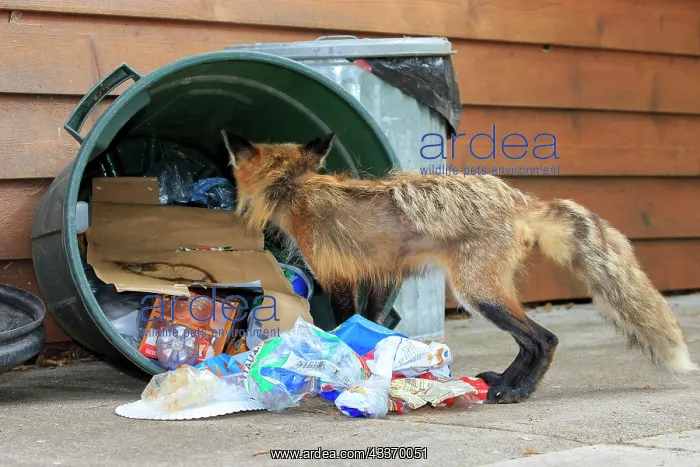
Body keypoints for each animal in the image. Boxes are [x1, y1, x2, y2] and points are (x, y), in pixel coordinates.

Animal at [219, 129, 698, 404]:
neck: (297, 187)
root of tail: (520, 200)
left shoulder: (338, 274)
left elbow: (344, 323)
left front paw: (341, 370)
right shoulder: (381, 273)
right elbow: (370, 323)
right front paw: (373, 366)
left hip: (477, 293)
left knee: (544, 339)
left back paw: (518, 392)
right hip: (485, 291)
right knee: (528, 343)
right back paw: (503, 382)